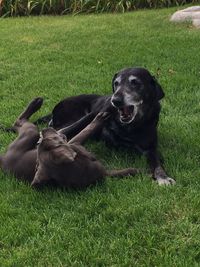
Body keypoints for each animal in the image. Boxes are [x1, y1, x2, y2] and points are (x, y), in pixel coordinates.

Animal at [39, 67, 177, 185]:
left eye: (135, 83)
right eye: (116, 83)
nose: (115, 100)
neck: (127, 126)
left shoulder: (150, 147)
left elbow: (157, 163)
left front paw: (163, 177)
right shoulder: (96, 113)